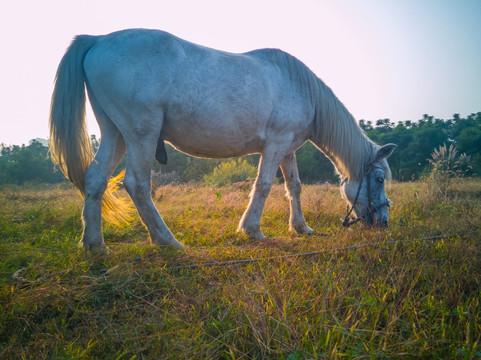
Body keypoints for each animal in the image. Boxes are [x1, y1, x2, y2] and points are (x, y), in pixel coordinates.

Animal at [48, 28, 396, 250]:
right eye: (379, 178)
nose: (384, 222)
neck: (299, 87)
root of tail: (98, 40)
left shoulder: (287, 149)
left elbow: (294, 187)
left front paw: (301, 227)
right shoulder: (275, 146)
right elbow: (264, 185)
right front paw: (252, 230)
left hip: (115, 134)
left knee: (95, 179)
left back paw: (94, 245)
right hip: (140, 134)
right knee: (137, 184)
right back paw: (167, 241)